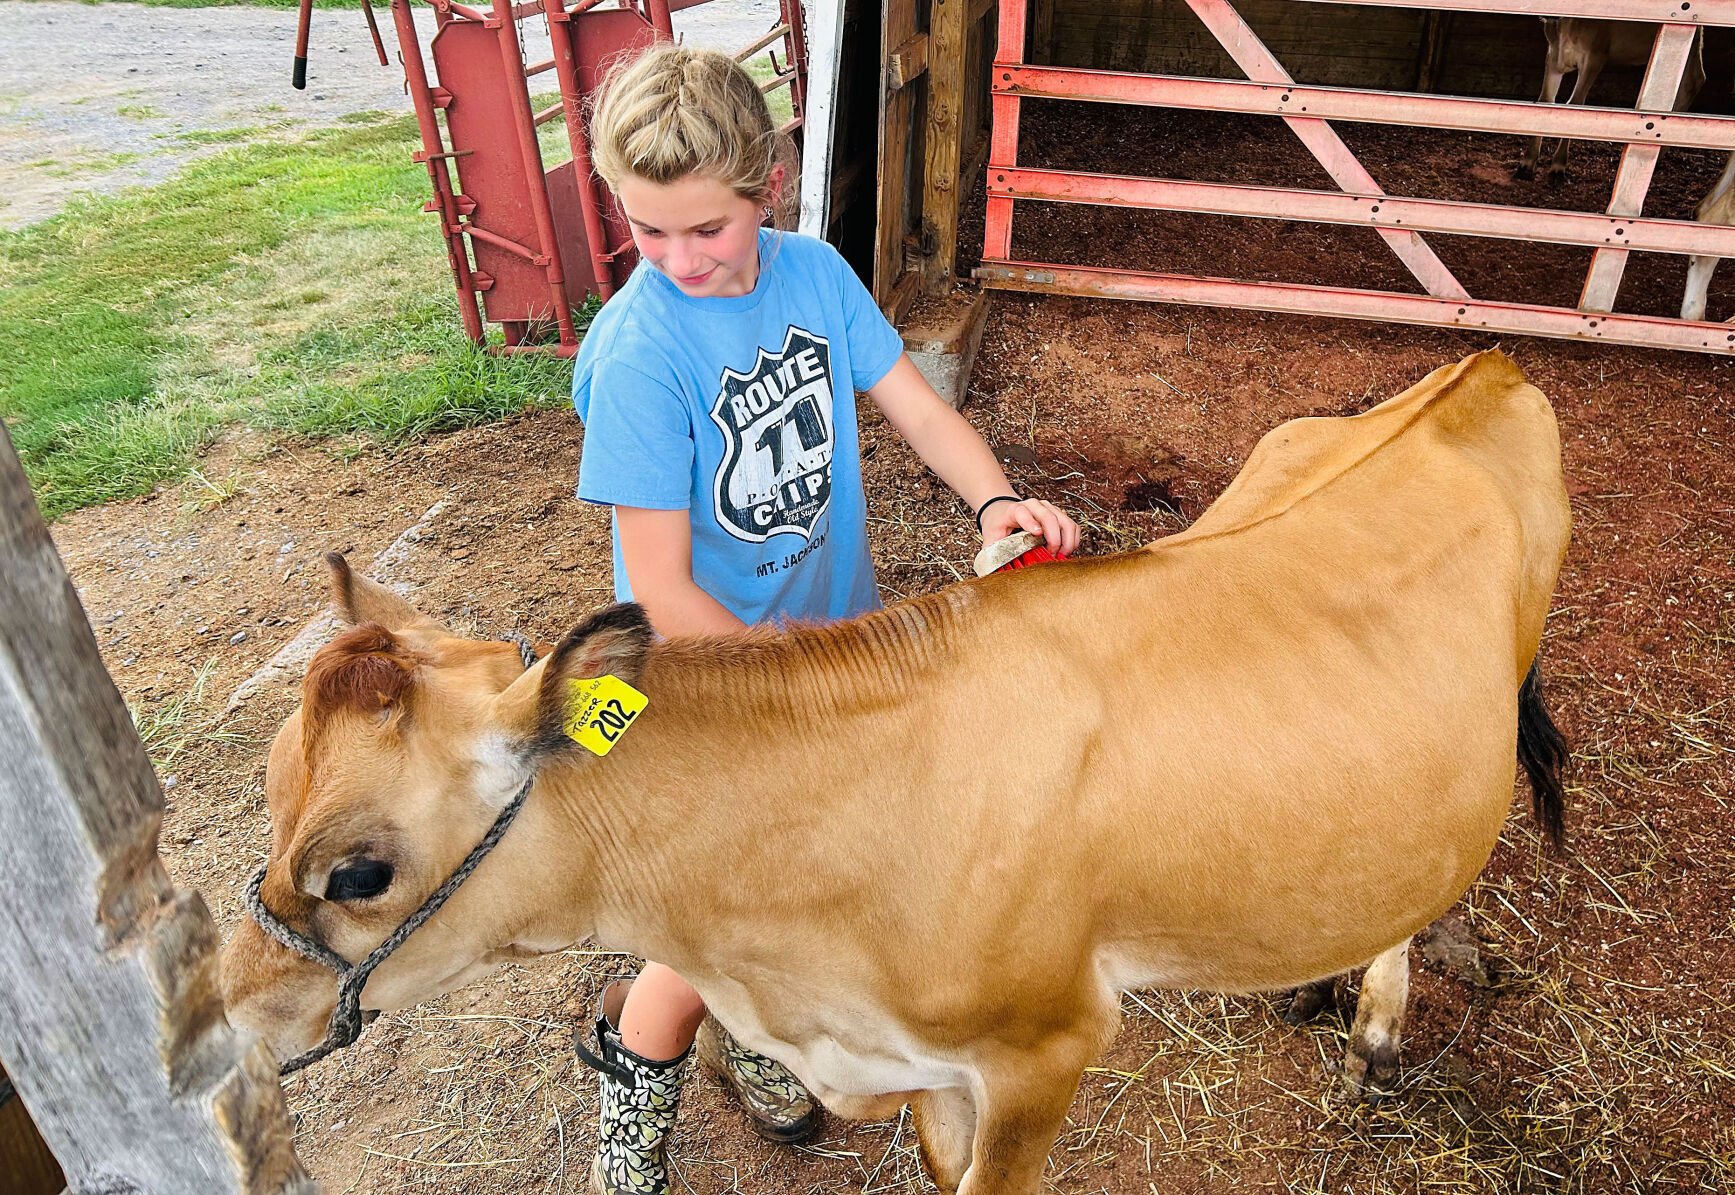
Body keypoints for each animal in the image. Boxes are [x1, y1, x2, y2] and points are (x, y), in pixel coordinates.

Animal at [220, 350, 1575, 1186]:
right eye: (269, 785)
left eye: (357, 872)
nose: (222, 1018)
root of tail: (1475, 367)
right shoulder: (922, 1067)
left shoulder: (1045, 1048)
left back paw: (1378, 1022)